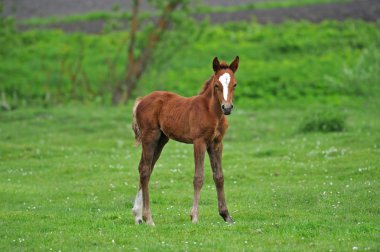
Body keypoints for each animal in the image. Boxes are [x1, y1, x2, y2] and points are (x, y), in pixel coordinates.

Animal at [129, 56, 239, 225]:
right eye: (216, 85)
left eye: (234, 84)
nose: (227, 108)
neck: (211, 112)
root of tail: (141, 100)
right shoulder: (199, 142)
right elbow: (198, 178)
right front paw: (194, 216)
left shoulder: (216, 143)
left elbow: (219, 177)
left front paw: (226, 215)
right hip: (150, 137)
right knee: (146, 171)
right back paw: (149, 219)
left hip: (161, 140)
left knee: (144, 168)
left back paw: (138, 215)